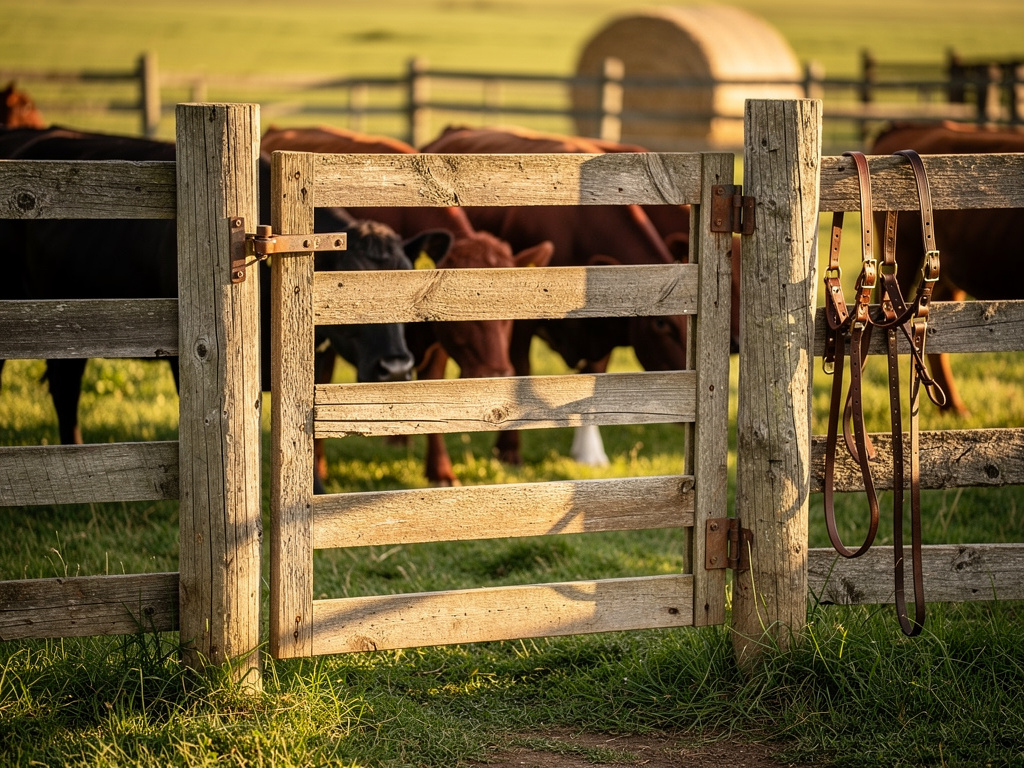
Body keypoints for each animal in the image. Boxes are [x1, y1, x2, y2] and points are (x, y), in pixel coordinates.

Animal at [419, 125, 704, 467]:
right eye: (661, 324)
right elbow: (521, 370)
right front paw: (509, 450)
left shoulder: (601, 324)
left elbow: (594, 377)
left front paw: (589, 452)